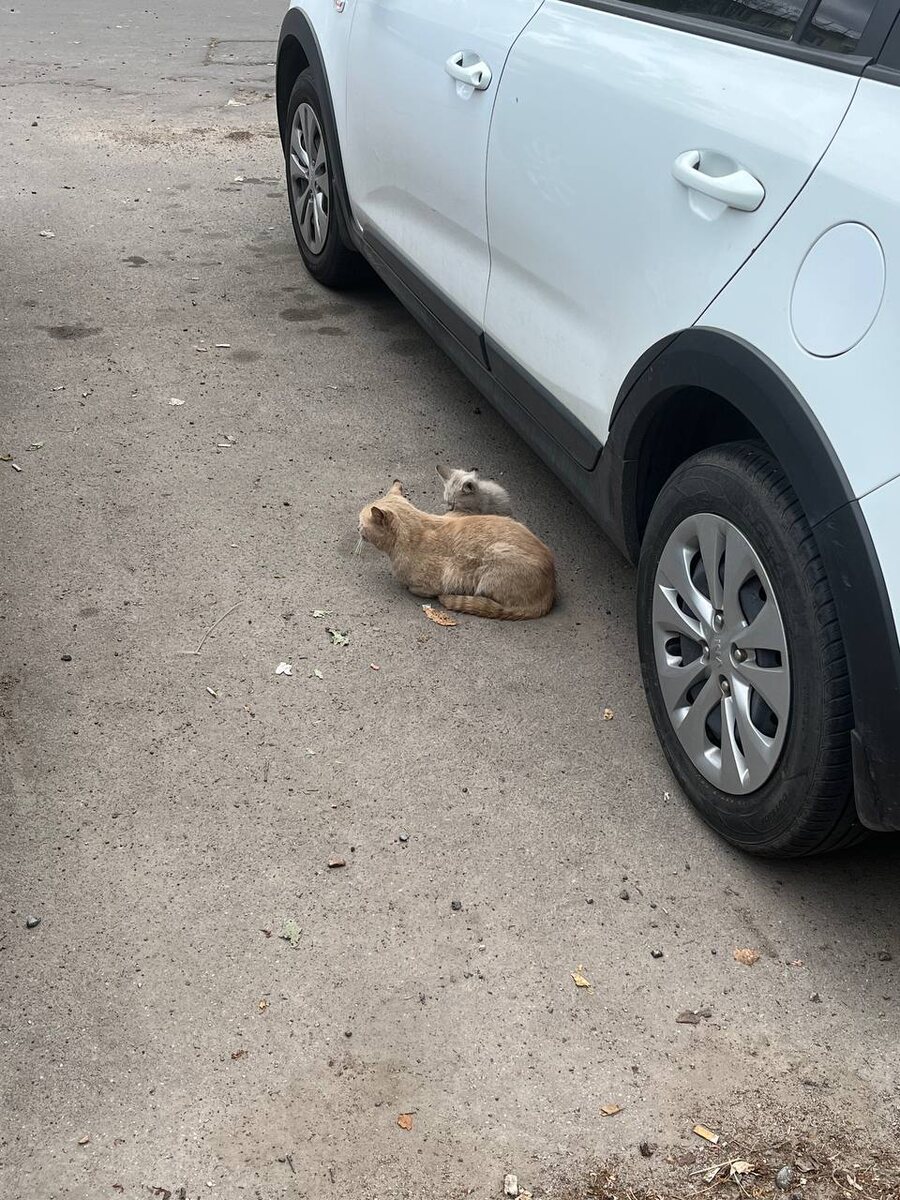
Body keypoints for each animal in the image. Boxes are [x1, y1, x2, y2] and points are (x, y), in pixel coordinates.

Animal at [358, 481, 555, 620]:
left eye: (361, 522)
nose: (357, 527)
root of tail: (550, 590)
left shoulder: (431, 585)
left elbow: (416, 589)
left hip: (496, 556)